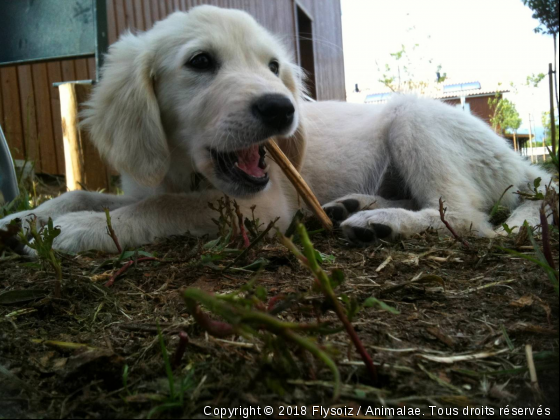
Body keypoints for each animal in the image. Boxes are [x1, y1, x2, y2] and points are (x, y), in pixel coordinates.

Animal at [0, 5, 552, 253]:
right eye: (200, 62)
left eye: (272, 66)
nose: (282, 110)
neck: (184, 170)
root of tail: (524, 165)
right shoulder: (151, 181)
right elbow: (85, 194)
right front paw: (27, 218)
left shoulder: (264, 206)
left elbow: (163, 207)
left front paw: (75, 230)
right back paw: (353, 207)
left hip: (415, 118)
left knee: (466, 219)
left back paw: (384, 221)